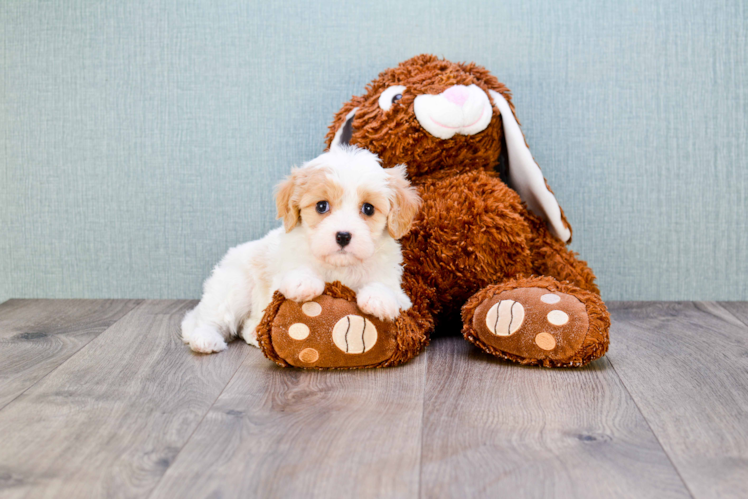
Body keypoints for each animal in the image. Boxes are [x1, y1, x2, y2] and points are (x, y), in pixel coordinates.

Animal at [178, 146, 418, 354]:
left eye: (368, 209)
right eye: (322, 206)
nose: (343, 235)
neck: (339, 267)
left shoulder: (401, 293)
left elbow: (387, 289)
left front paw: (378, 299)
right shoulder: (281, 273)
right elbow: (296, 273)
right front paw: (304, 282)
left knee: (245, 325)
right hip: (234, 287)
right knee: (206, 319)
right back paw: (206, 339)